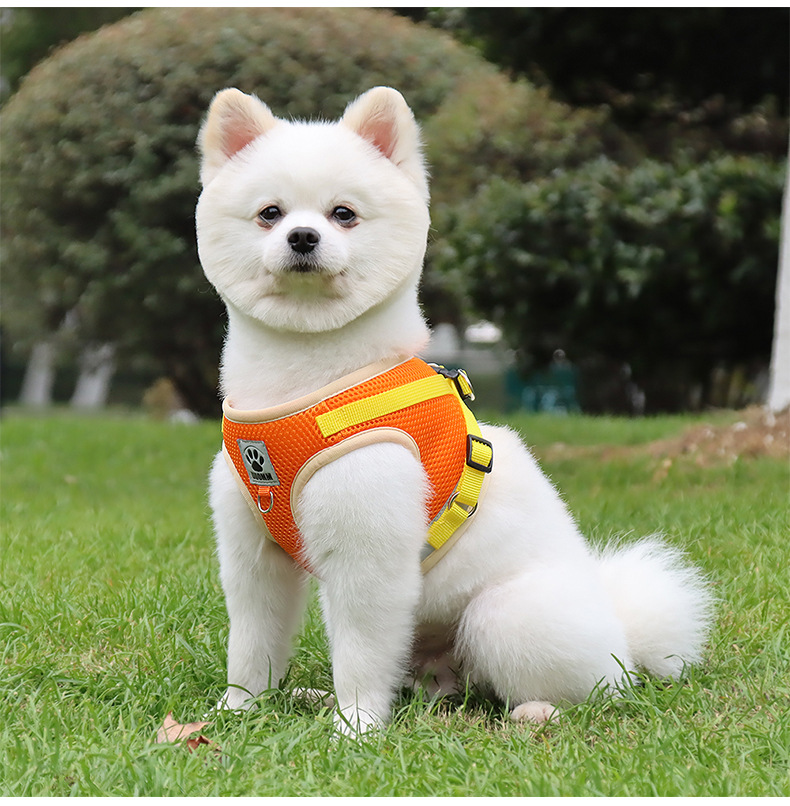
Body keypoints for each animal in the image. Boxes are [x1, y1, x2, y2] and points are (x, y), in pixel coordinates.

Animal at [195, 86, 713, 735]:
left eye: (343, 213)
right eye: (270, 213)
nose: (303, 238)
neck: (308, 385)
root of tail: (620, 628)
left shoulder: (369, 553)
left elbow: (359, 651)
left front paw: (356, 727)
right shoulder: (251, 551)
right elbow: (252, 640)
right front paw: (238, 710)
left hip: (504, 615)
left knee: (598, 689)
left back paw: (538, 711)